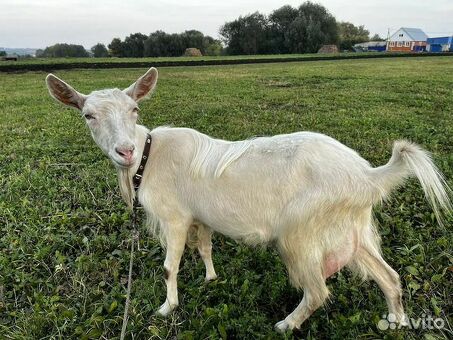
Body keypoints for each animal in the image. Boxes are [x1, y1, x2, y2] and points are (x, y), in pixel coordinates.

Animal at [45, 67, 448, 332]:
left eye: (135, 110)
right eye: (88, 115)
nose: (125, 151)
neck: (149, 157)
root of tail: (367, 175)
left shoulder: (175, 218)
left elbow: (169, 267)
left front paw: (166, 308)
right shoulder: (201, 217)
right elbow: (205, 247)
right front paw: (210, 279)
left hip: (300, 233)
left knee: (318, 291)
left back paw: (286, 324)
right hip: (353, 229)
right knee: (389, 276)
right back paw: (397, 320)